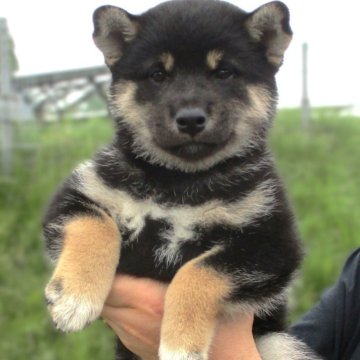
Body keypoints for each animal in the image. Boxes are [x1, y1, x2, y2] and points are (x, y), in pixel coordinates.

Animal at [44, 0, 320, 358]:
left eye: (223, 72)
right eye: (158, 74)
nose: (190, 119)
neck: (179, 181)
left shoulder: (270, 243)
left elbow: (198, 272)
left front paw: (180, 343)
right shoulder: (83, 191)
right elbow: (96, 225)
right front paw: (75, 297)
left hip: (277, 342)